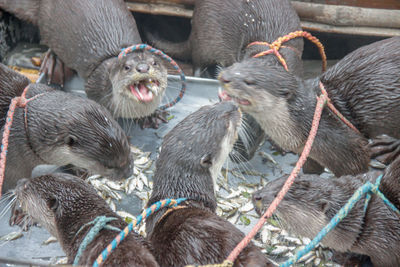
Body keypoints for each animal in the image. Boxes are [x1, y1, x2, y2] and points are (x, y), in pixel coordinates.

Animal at [219, 36, 400, 178]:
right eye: (235, 66)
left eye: (249, 81)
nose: (223, 77)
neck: (311, 121)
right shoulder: (309, 153)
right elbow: (312, 169)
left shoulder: (349, 149)